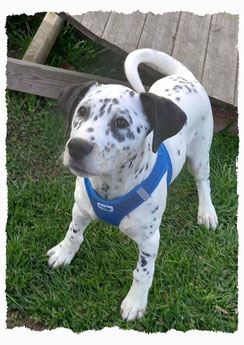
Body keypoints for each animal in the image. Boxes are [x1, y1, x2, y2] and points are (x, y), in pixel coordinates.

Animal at [46, 47, 218, 320]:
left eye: (121, 123)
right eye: (82, 111)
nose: (76, 148)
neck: (110, 188)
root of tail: (187, 77)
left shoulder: (150, 240)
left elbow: (143, 272)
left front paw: (135, 302)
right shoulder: (80, 209)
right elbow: (74, 234)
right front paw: (64, 253)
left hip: (200, 153)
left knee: (203, 181)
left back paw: (207, 212)